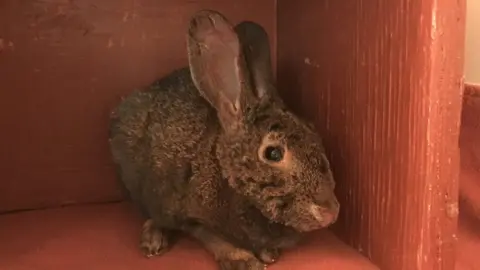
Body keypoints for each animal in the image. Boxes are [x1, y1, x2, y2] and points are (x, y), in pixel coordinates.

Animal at [109, 8, 342, 270]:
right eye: (273, 153)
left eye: (314, 132)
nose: (331, 213)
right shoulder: (190, 214)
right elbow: (210, 236)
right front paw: (243, 260)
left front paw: (267, 252)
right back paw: (153, 239)